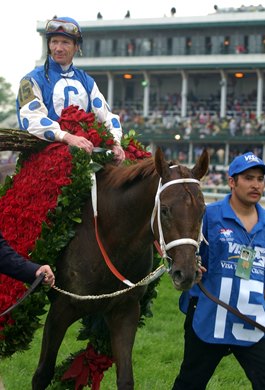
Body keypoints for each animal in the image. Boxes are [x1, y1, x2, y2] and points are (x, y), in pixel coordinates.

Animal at [31, 148, 208, 388]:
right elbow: (42, 373)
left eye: (203, 210)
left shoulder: (125, 311)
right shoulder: (60, 309)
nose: (186, 273)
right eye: (165, 210)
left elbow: (125, 378)